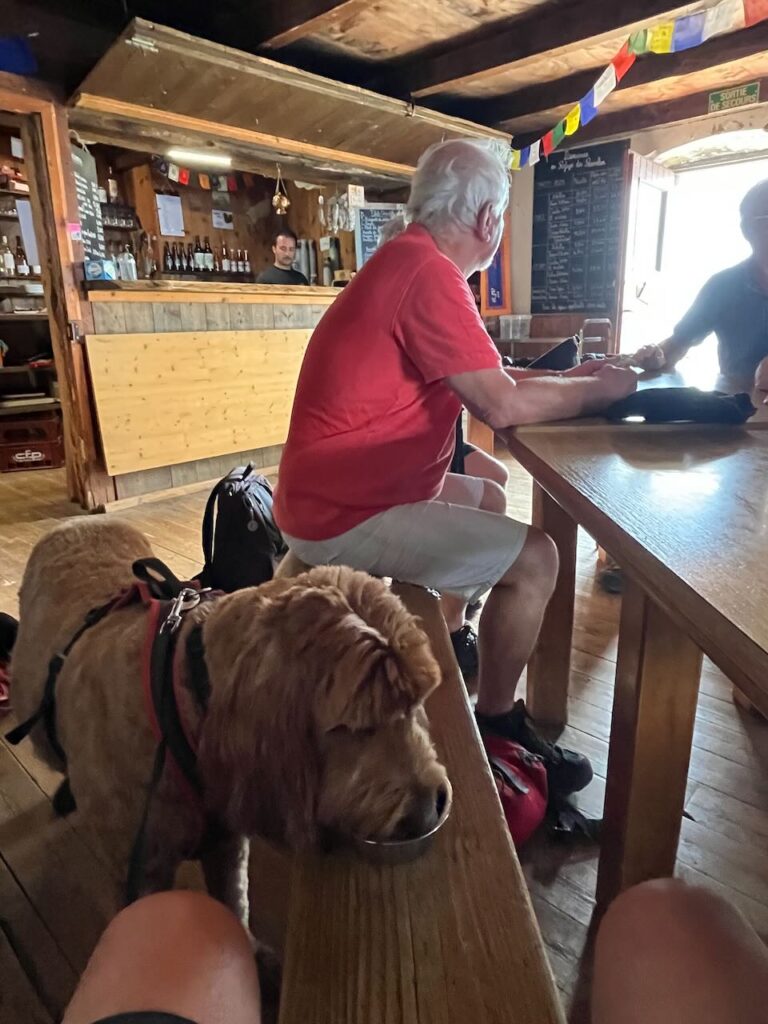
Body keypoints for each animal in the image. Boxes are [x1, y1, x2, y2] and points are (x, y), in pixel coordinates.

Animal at [10, 518, 448, 924]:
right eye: (356, 726)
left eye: (417, 702)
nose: (431, 806)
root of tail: (79, 520)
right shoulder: (139, 875)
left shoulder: (228, 843)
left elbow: (233, 902)